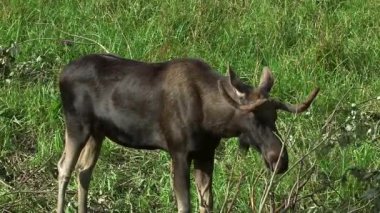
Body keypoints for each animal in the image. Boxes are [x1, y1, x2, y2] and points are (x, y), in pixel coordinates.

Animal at [55, 53, 318, 213]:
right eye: (252, 117)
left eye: (274, 118)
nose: (279, 159)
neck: (211, 120)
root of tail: (61, 74)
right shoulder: (178, 151)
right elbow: (185, 205)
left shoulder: (205, 153)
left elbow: (207, 203)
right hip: (76, 125)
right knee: (64, 167)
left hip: (98, 132)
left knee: (84, 170)